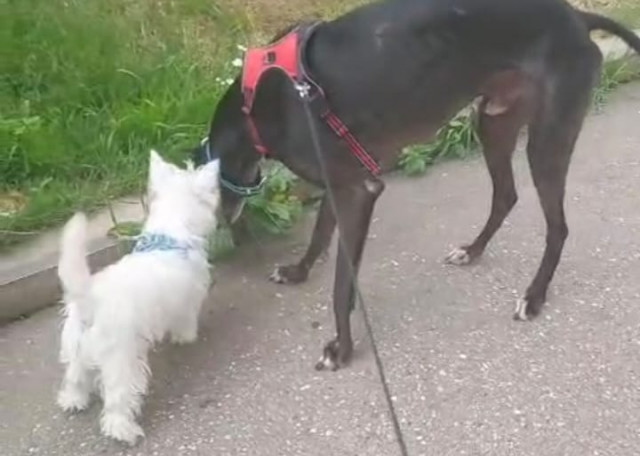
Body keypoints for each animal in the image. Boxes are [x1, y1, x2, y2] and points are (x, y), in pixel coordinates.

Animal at [56, 150, 220, 444]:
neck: (169, 234)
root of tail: (90, 303)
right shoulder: (187, 303)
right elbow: (186, 323)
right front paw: (186, 338)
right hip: (121, 360)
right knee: (117, 399)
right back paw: (124, 430)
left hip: (75, 347)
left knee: (75, 377)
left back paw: (73, 401)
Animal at [194, 0, 640, 371]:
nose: (228, 226)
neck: (258, 102)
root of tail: (578, 17)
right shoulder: (340, 185)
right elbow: (320, 236)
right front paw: (297, 271)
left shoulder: (358, 192)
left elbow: (341, 285)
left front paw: (341, 348)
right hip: (493, 122)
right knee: (506, 196)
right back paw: (472, 250)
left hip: (547, 138)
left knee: (557, 227)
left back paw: (534, 296)